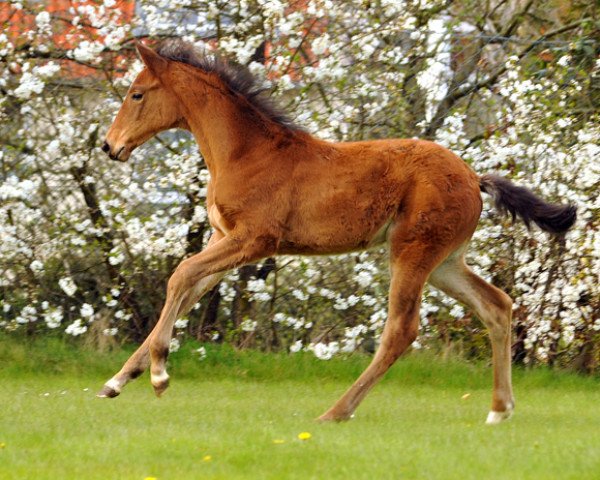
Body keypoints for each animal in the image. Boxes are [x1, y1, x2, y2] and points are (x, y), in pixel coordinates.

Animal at [98, 40, 576, 424]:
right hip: (445, 262)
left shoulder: (255, 240)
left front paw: (159, 376)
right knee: (496, 306)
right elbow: (186, 291)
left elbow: (179, 275)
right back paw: (499, 410)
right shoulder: (225, 240)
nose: (109, 146)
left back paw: (336, 411)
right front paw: (118, 380)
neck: (246, 152)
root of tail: (474, 176)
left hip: (412, 251)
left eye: (136, 93)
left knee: (401, 330)